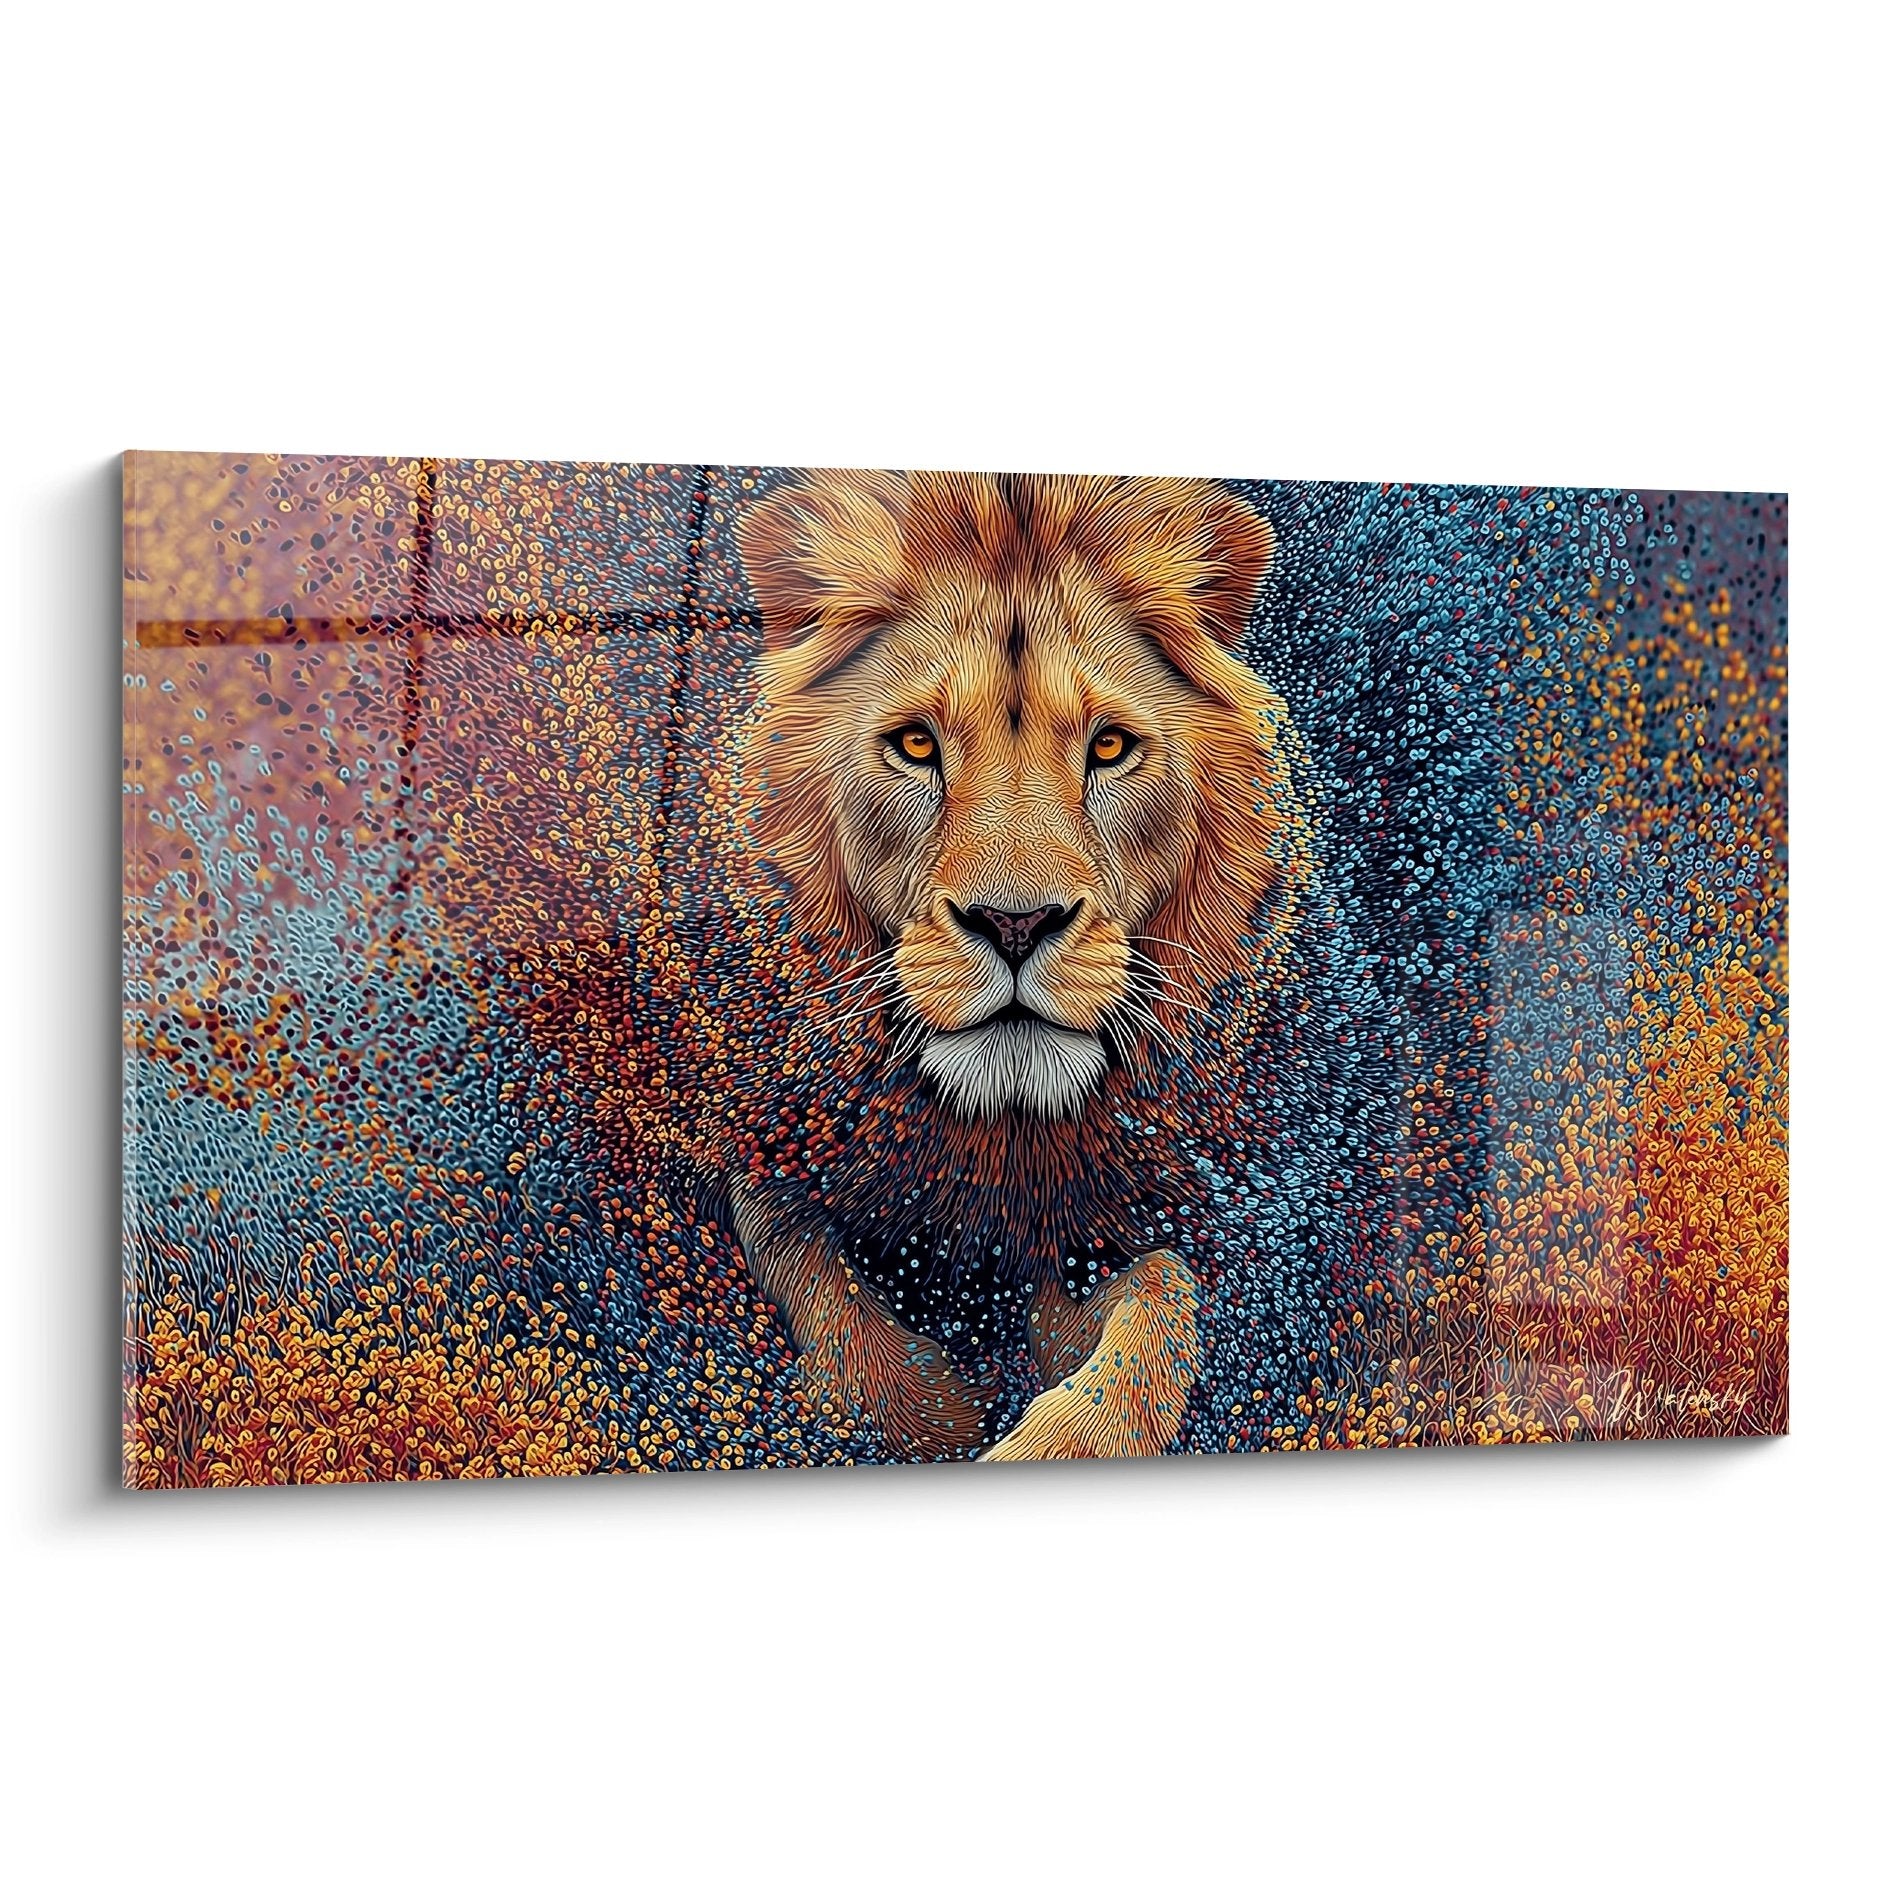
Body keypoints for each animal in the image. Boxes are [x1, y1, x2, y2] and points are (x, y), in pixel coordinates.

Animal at [718, 469, 1312, 1461]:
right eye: (916, 745)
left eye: (1109, 746)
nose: (1016, 923)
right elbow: (797, 1250)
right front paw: (934, 1415)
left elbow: (1165, 1289)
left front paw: (1065, 1441)